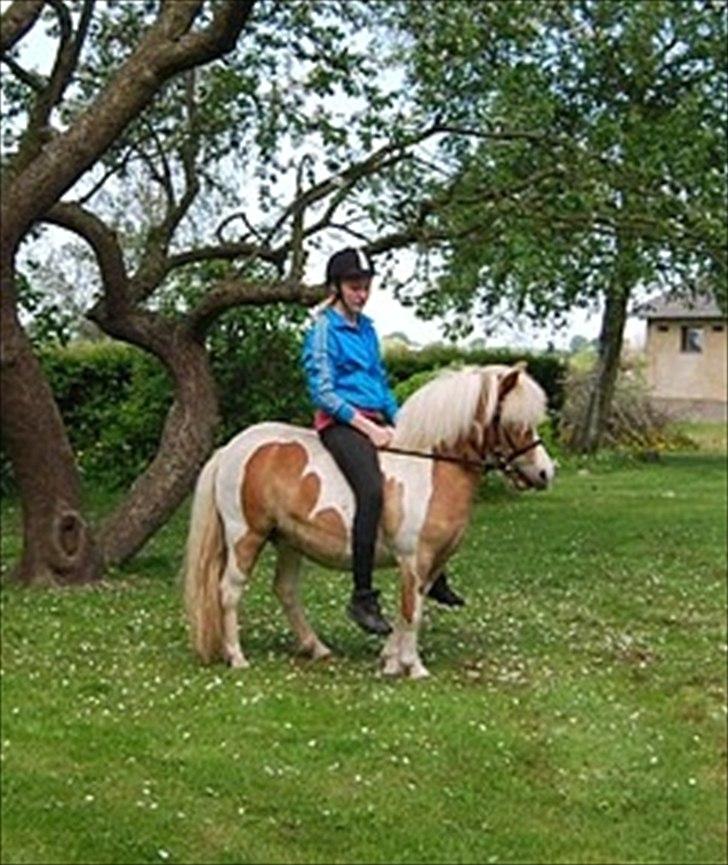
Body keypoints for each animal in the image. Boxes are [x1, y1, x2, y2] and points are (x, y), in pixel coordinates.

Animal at [183, 362, 555, 679]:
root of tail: (230, 448)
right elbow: (412, 612)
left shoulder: (429, 564)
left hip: (289, 540)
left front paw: (391, 660)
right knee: (229, 591)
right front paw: (413, 666)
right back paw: (237, 656)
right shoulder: (413, 559)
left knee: (285, 590)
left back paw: (316, 648)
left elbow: (411, 608)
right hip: (245, 536)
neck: (432, 468)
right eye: (513, 422)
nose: (546, 473)